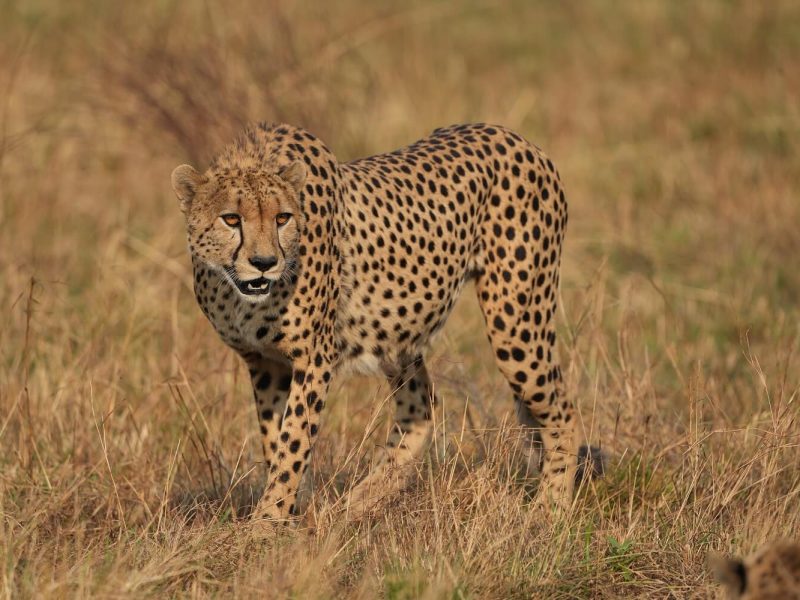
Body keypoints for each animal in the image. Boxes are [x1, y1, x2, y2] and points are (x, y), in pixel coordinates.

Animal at [170, 122, 579, 523]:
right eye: (231, 219)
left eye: (282, 218)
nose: (264, 262)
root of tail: (516, 137)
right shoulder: (265, 363)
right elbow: (277, 441)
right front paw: (290, 513)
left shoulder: (314, 358)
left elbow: (293, 442)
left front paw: (266, 525)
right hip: (397, 332)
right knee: (422, 404)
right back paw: (357, 503)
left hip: (516, 324)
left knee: (563, 407)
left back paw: (552, 507)